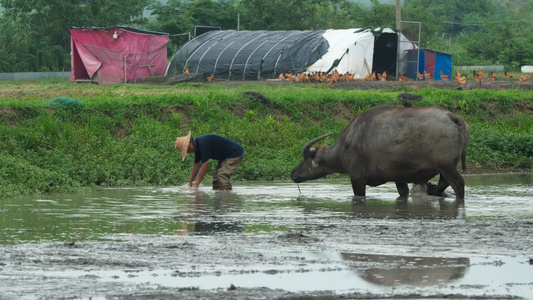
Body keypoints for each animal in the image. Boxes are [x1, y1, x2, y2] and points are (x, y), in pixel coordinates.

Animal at [290, 104, 470, 200]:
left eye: (306, 161)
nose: (293, 174)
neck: (346, 146)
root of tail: (453, 116)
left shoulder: (357, 178)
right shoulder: (399, 178)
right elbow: (403, 193)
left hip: (447, 166)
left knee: (458, 184)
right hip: (445, 168)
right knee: (443, 184)